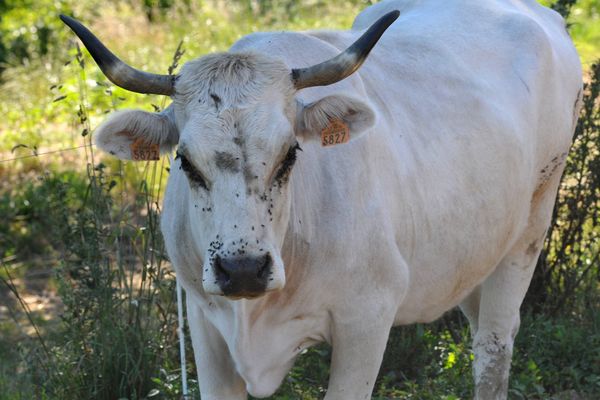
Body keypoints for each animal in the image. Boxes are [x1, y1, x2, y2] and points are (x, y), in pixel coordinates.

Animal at [62, 1, 580, 398]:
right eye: (186, 161)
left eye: (290, 153)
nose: (243, 269)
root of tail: (542, 16)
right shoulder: (205, 326)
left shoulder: (367, 321)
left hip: (530, 230)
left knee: (493, 344)